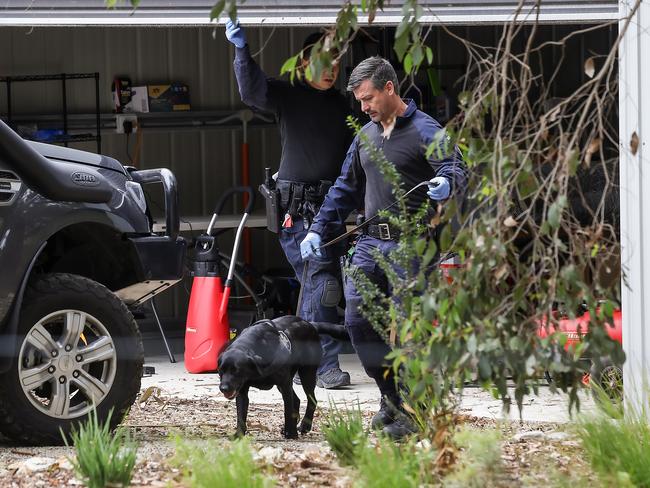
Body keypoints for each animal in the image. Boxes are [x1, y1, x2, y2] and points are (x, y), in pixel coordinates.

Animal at [218, 314, 350, 440]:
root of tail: (310, 324)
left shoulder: (285, 384)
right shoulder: (242, 390)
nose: (223, 388)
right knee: (296, 400)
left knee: (311, 399)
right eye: (220, 371)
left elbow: (287, 410)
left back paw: (305, 425)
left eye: (237, 371)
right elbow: (241, 414)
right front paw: (239, 435)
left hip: (307, 374)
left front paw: (291, 433)